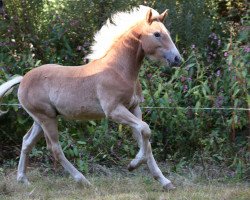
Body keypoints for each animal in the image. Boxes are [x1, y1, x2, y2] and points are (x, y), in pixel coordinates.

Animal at [0, 5, 181, 190]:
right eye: (157, 34)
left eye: (167, 33)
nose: (177, 59)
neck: (118, 70)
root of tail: (23, 79)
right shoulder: (114, 111)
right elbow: (145, 129)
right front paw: (133, 164)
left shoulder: (134, 108)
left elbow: (146, 139)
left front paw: (164, 181)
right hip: (46, 118)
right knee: (55, 148)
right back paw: (83, 180)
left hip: (40, 119)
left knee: (27, 142)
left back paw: (23, 179)